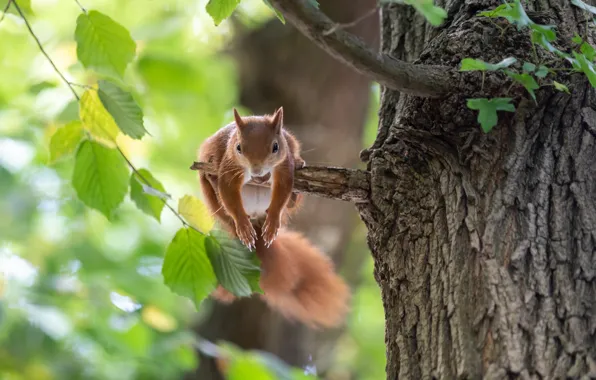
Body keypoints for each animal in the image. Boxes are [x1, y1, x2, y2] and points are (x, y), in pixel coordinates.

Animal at [198, 107, 352, 330]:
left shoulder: (284, 166)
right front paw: (242, 224)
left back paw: (293, 190)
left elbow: (283, 190)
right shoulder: (228, 165)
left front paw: (273, 222)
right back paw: (213, 181)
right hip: (211, 195)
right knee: (219, 197)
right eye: (238, 147)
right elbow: (228, 191)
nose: (258, 172)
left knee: (291, 200)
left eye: (275, 147)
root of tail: (256, 220)